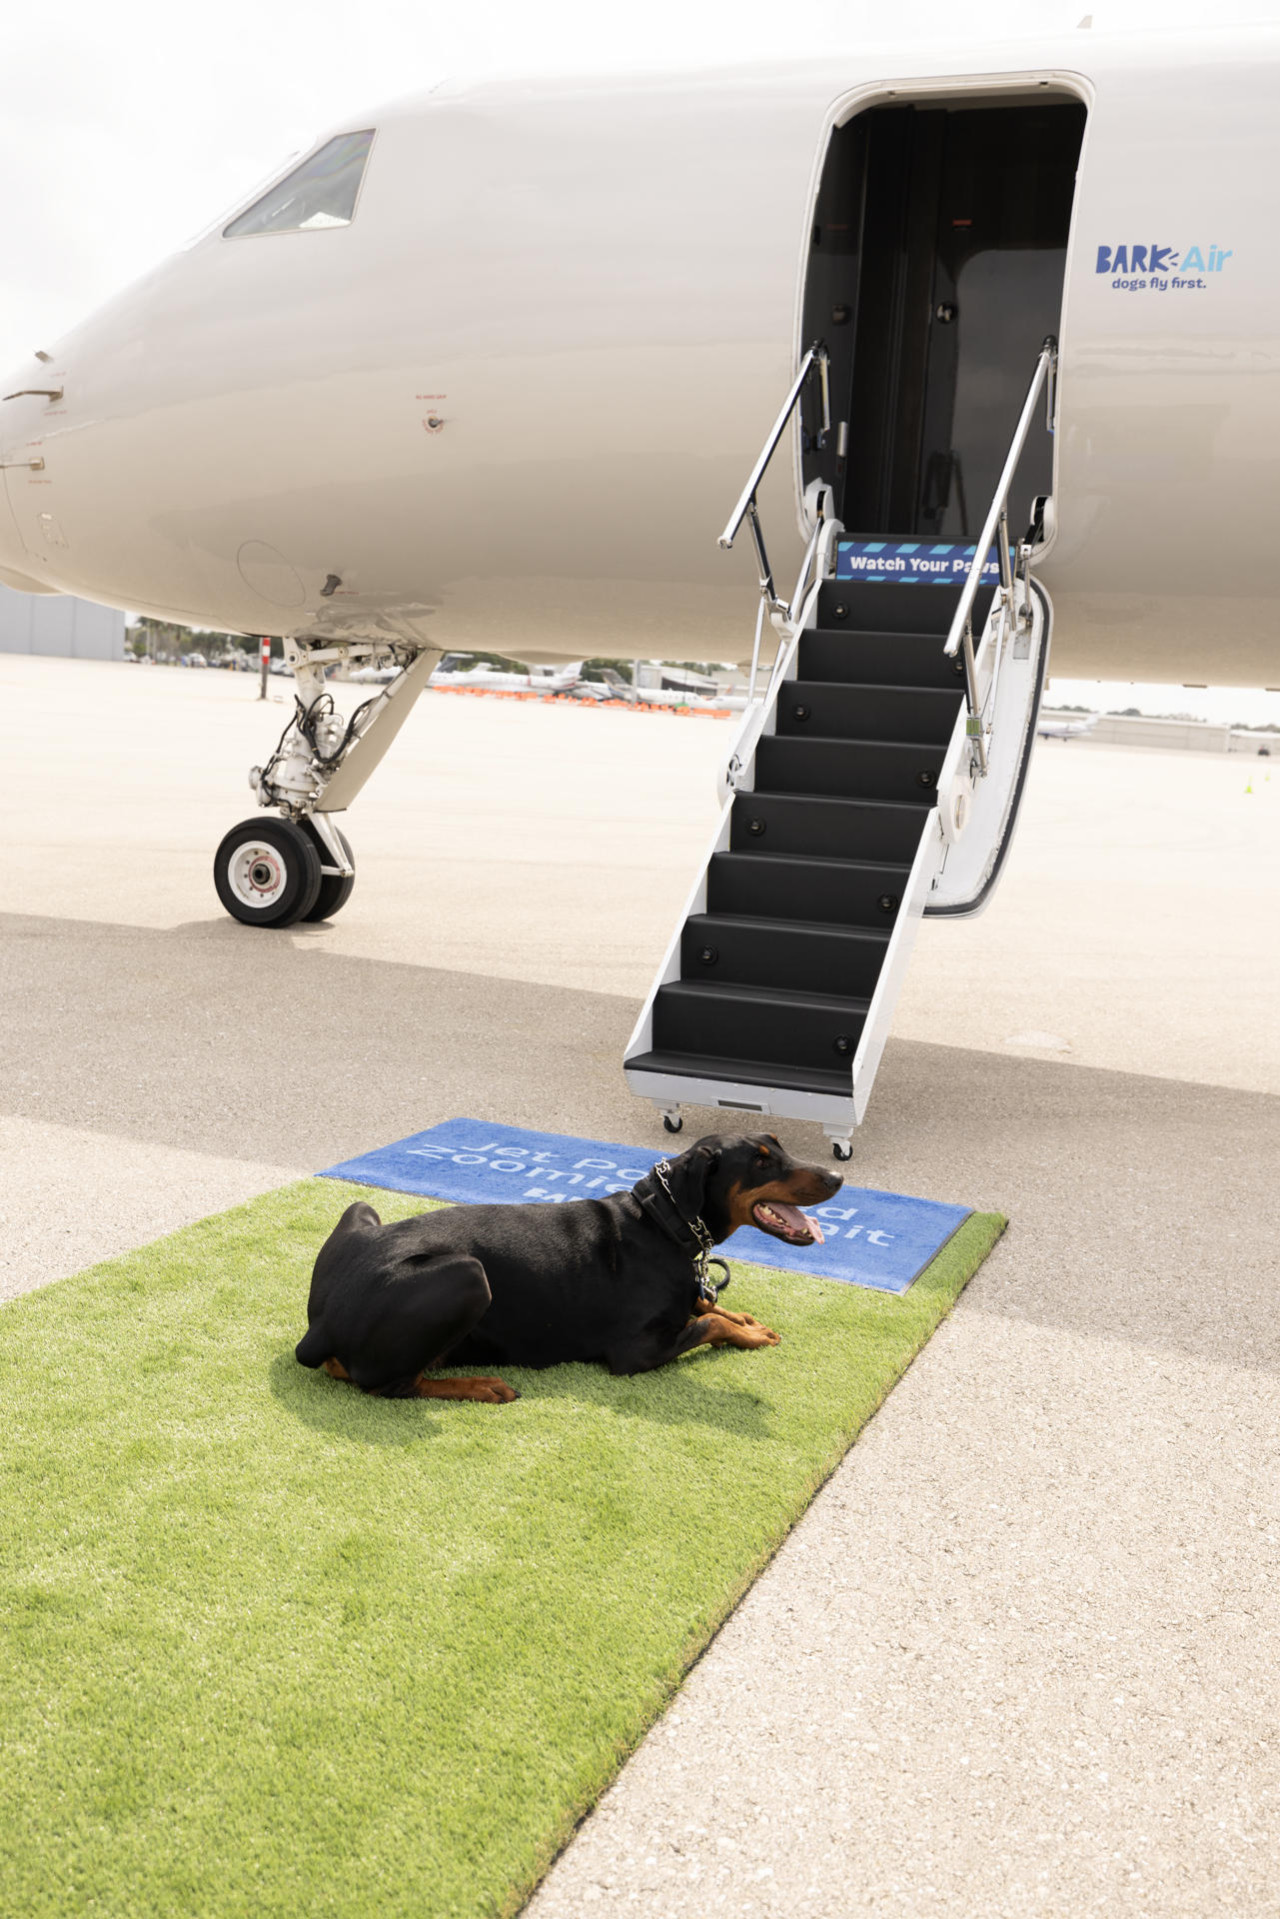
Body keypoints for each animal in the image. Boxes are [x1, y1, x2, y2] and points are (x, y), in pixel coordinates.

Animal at [295, 1128, 844, 1404]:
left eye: (779, 1146)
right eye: (760, 1161)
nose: (838, 1178)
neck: (661, 1222)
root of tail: (318, 1325)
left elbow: (705, 1305)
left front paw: (747, 1321)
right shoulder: (633, 1353)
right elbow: (708, 1322)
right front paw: (745, 1332)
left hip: (362, 1213)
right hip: (469, 1275)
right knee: (386, 1384)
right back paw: (482, 1385)